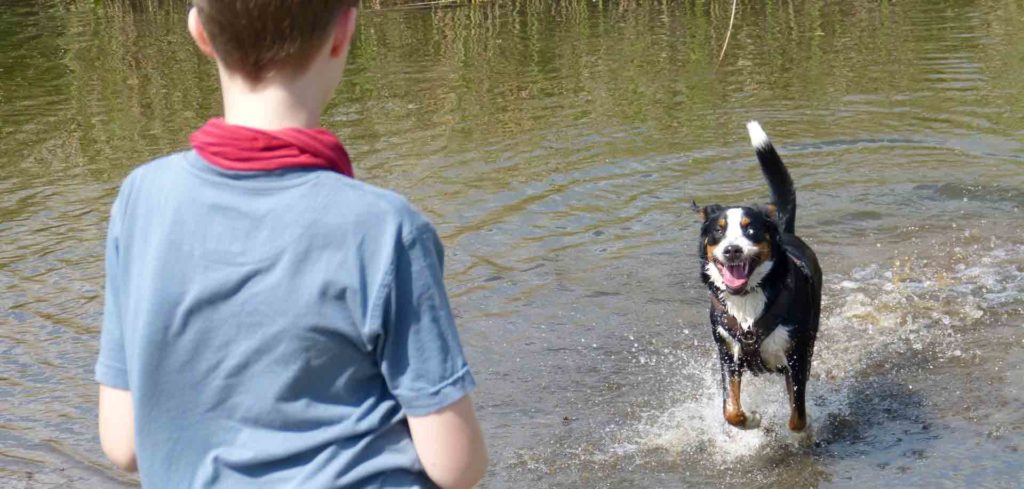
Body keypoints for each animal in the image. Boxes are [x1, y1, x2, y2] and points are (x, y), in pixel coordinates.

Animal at [692, 121, 819, 431]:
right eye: (718, 230)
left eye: (750, 229)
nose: (732, 250)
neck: (747, 298)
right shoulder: (727, 351)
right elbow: (730, 409)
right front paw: (752, 419)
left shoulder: (797, 355)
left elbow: (797, 415)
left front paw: (802, 428)